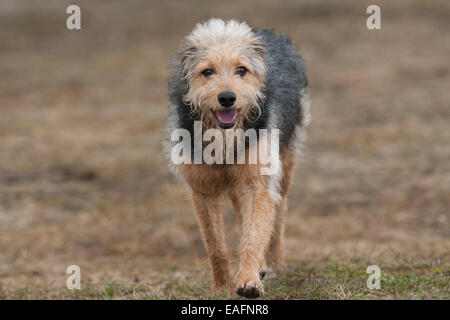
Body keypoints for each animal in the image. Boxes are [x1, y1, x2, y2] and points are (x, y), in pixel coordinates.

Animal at [165, 17, 310, 298]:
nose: (227, 98)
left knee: (278, 213)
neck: (223, 138)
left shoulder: (257, 183)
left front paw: (249, 281)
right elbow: (216, 245)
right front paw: (221, 288)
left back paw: (271, 264)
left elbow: (253, 237)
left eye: (241, 70)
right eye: (207, 72)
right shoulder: (202, 189)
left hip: (284, 164)